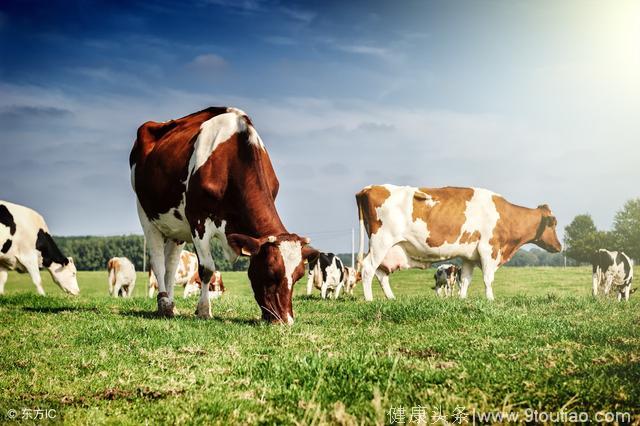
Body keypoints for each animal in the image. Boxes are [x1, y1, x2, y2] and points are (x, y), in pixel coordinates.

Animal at [131, 106, 320, 322]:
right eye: (271, 272)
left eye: (298, 276)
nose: (286, 321)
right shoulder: (198, 220)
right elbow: (206, 268)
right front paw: (204, 310)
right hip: (146, 214)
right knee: (158, 262)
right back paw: (163, 303)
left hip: (176, 227)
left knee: (171, 265)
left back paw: (171, 305)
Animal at [356, 185, 560, 302]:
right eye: (553, 223)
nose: (560, 246)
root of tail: (369, 188)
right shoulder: (489, 249)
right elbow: (488, 278)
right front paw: (490, 299)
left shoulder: (469, 255)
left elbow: (466, 280)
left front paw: (462, 299)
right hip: (381, 242)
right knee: (368, 268)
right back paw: (369, 300)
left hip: (388, 249)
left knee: (381, 273)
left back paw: (391, 298)